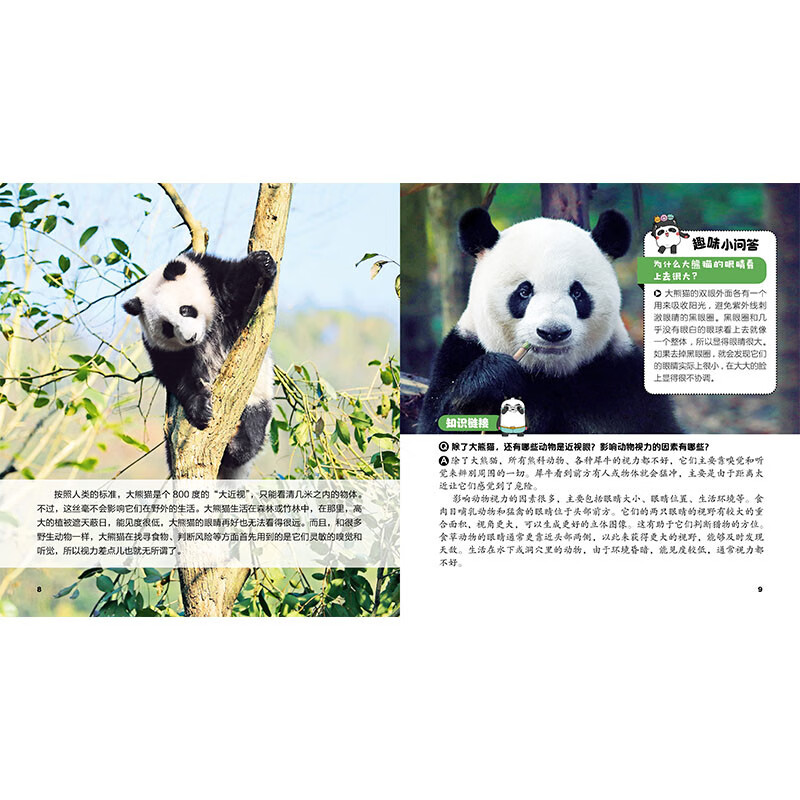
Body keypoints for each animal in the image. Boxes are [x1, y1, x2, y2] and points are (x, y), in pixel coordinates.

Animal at [122, 249, 277, 478]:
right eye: (167, 327)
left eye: (185, 310)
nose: (190, 338)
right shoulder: (159, 348)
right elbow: (176, 374)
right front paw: (201, 407)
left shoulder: (213, 276)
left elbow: (241, 288)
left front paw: (262, 263)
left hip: (256, 394)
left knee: (254, 425)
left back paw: (236, 446)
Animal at [418, 207, 682, 434]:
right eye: (524, 291)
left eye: (577, 293)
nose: (553, 332)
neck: (547, 376)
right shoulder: (459, 353)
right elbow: (437, 421)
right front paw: (492, 379)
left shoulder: (621, 378)